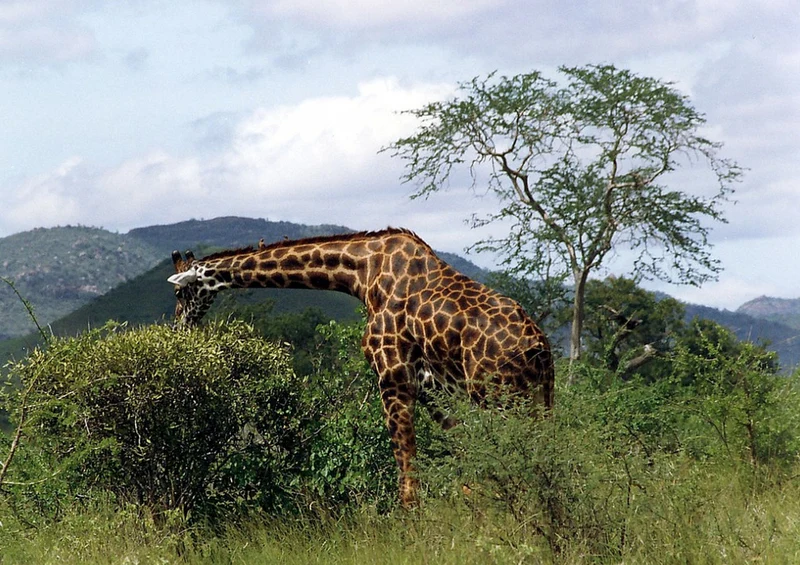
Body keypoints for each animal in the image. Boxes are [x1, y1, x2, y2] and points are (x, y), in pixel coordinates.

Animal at [167, 228, 555, 508]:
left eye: (180, 294)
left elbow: (409, 475)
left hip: (500, 397)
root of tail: (539, 348)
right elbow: (464, 460)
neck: (362, 272)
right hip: (536, 399)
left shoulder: (393, 374)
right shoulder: (430, 386)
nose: (179, 327)